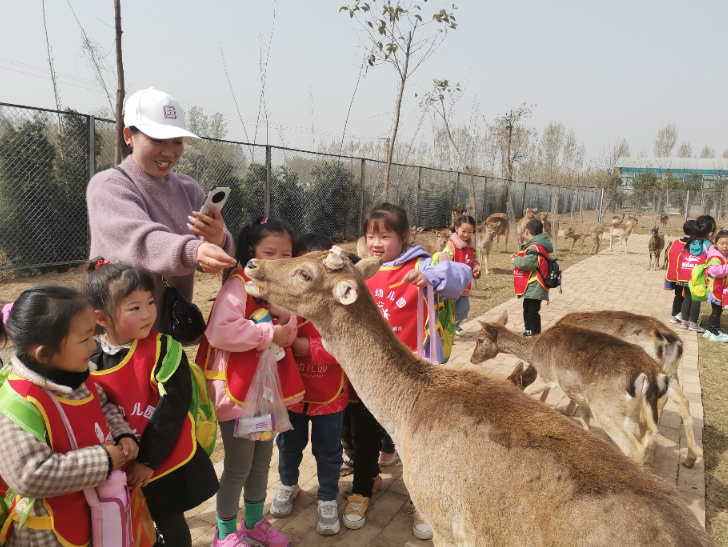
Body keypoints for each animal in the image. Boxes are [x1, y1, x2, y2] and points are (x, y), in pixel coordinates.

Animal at [470, 310, 704, 468]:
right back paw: (690, 459)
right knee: (677, 405)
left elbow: (534, 393)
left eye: (480, 339)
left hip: (608, 408)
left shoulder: (548, 376)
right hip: (667, 376)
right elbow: (583, 417)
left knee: (635, 445)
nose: (472, 359)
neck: (533, 349)